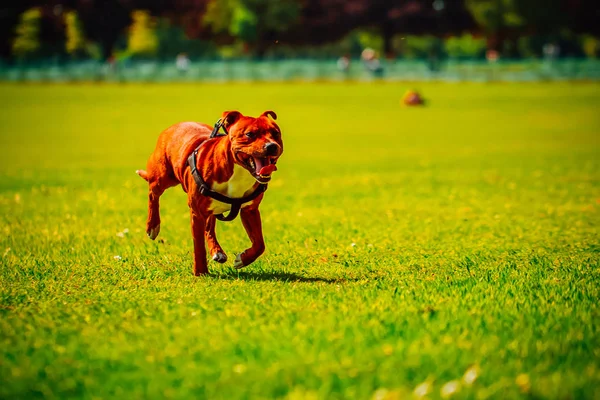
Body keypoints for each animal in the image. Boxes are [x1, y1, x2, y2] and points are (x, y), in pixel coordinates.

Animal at [137, 111, 282, 276]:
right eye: (250, 134)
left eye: (276, 134)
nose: (271, 146)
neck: (238, 171)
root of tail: (174, 126)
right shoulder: (197, 213)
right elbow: (198, 245)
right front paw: (200, 272)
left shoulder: (249, 210)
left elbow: (259, 244)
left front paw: (243, 259)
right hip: (162, 178)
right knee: (153, 194)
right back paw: (152, 226)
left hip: (210, 207)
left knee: (209, 227)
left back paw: (217, 251)